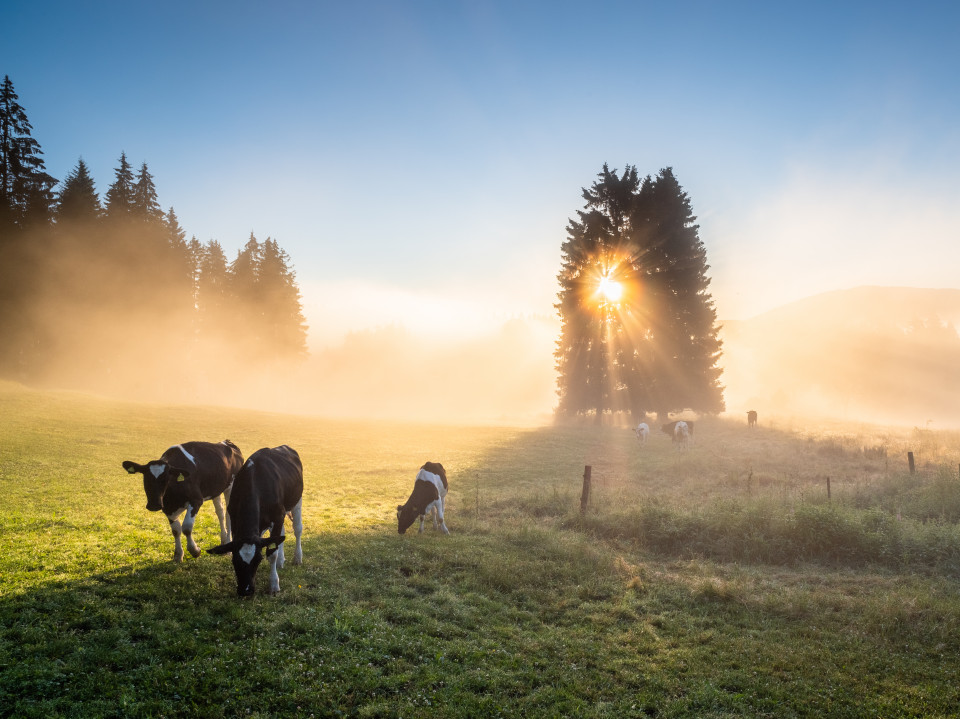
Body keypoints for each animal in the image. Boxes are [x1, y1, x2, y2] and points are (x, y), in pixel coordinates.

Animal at [208, 448, 302, 600]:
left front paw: (274, 585)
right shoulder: (235, 519)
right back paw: (281, 562)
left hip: (297, 501)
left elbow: (272, 553)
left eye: (258, 559)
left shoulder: (277, 516)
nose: (246, 590)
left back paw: (297, 558)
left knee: (297, 529)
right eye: (234, 560)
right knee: (280, 536)